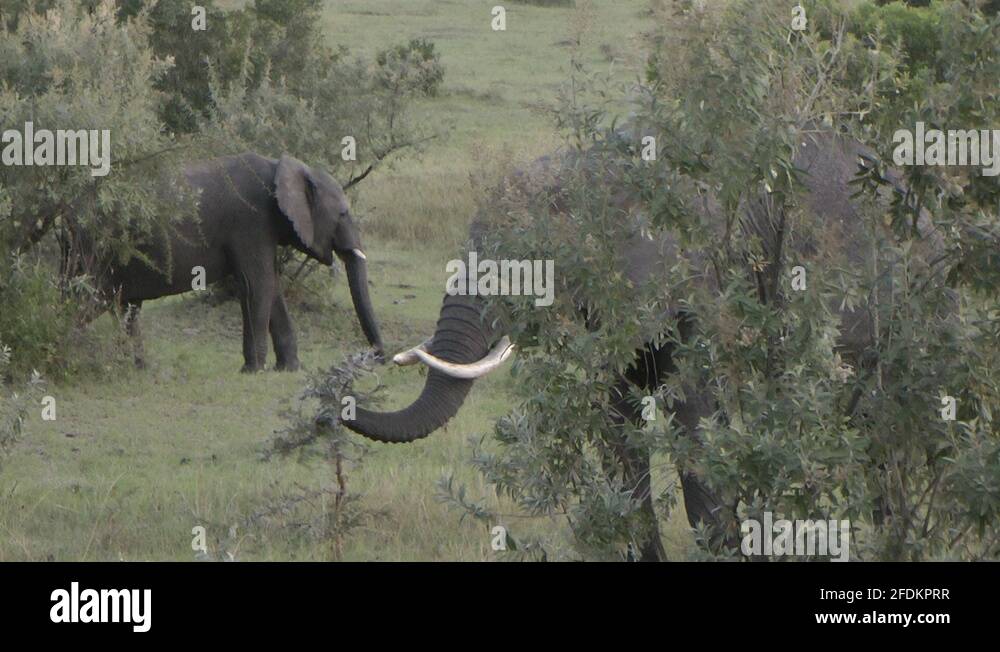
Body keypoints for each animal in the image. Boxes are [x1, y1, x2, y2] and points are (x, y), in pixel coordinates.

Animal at [106, 153, 384, 372]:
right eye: (343, 214)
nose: (379, 359)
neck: (281, 167)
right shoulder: (251, 220)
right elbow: (257, 284)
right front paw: (254, 370)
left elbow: (272, 285)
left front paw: (289, 369)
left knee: (127, 308)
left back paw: (138, 368)